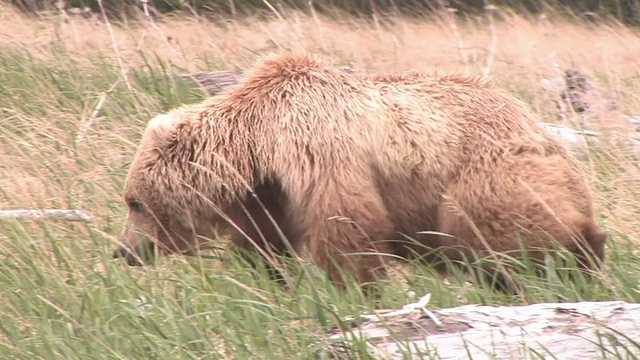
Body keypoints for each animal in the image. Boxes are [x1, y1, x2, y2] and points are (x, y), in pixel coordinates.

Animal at [112, 51, 608, 292]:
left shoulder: (319, 148)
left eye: (134, 202)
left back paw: (578, 255)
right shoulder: (269, 192)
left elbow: (348, 227)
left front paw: (353, 291)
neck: (260, 140)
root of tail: (536, 124)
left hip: (487, 170)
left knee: (508, 224)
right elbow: (263, 242)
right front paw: (269, 279)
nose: (124, 252)